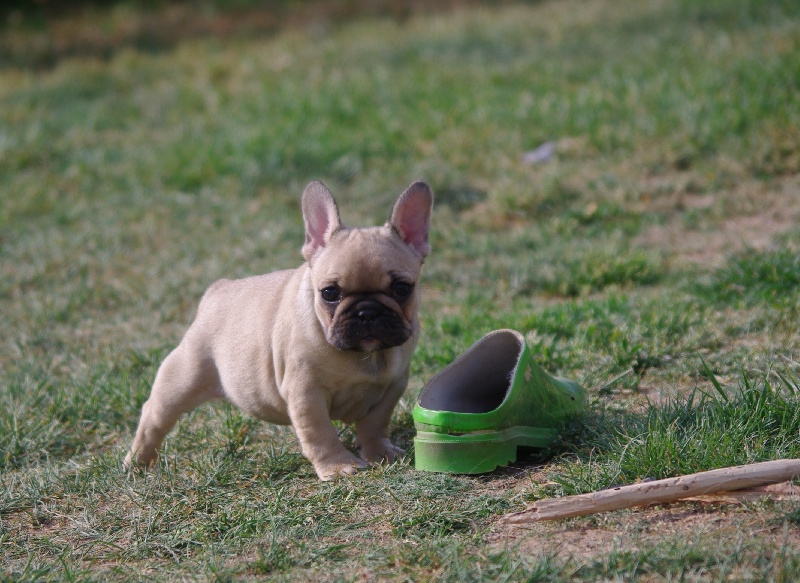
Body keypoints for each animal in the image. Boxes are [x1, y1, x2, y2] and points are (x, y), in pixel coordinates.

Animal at [126, 181, 434, 480]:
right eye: (329, 293)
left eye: (402, 288)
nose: (367, 311)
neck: (362, 356)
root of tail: (217, 290)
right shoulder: (305, 392)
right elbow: (320, 432)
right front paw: (337, 466)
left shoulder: (392, 386)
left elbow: (374, 423)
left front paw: (378, 451)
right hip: (184, 377)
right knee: (155, 415)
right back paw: (138, 461)